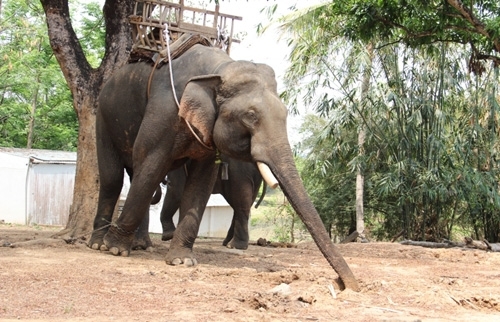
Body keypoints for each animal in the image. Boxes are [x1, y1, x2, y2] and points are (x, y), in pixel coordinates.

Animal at [87, 41, 360, 290]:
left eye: (285, 113)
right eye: (251, 116)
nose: (346, 285)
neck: (219, 69)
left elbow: (201, 181)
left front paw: (181, 261)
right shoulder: (164, 111)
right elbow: (151, 167)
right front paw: (115, 250)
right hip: (103, 116)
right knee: (113, 178)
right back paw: (99, 244)